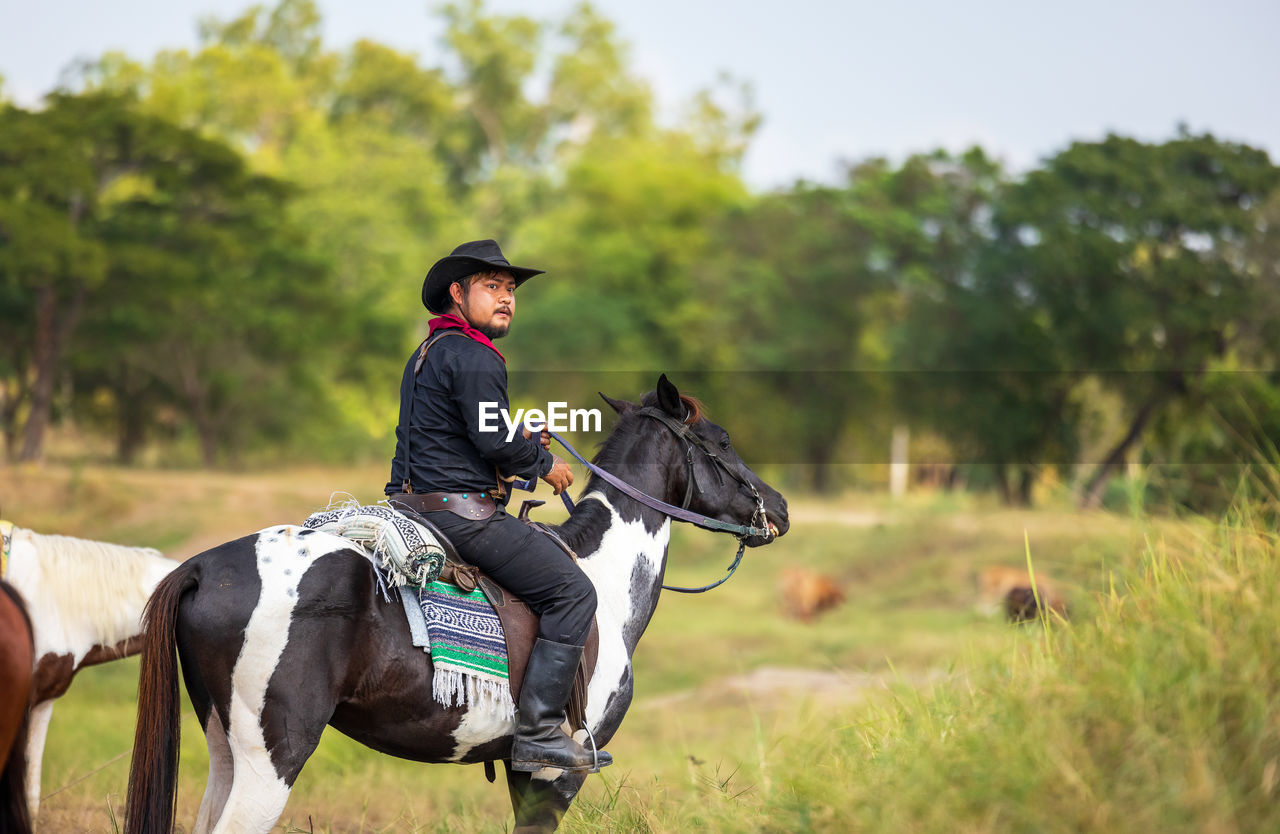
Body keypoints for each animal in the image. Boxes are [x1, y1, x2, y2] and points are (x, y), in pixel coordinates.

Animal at [127, 378, 788, 834]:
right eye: (722, 441)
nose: (778, 508)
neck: (600, 579)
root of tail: (205, 566)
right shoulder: (557, 771)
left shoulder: (523, 771)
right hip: (271, 760)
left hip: (225, 750)